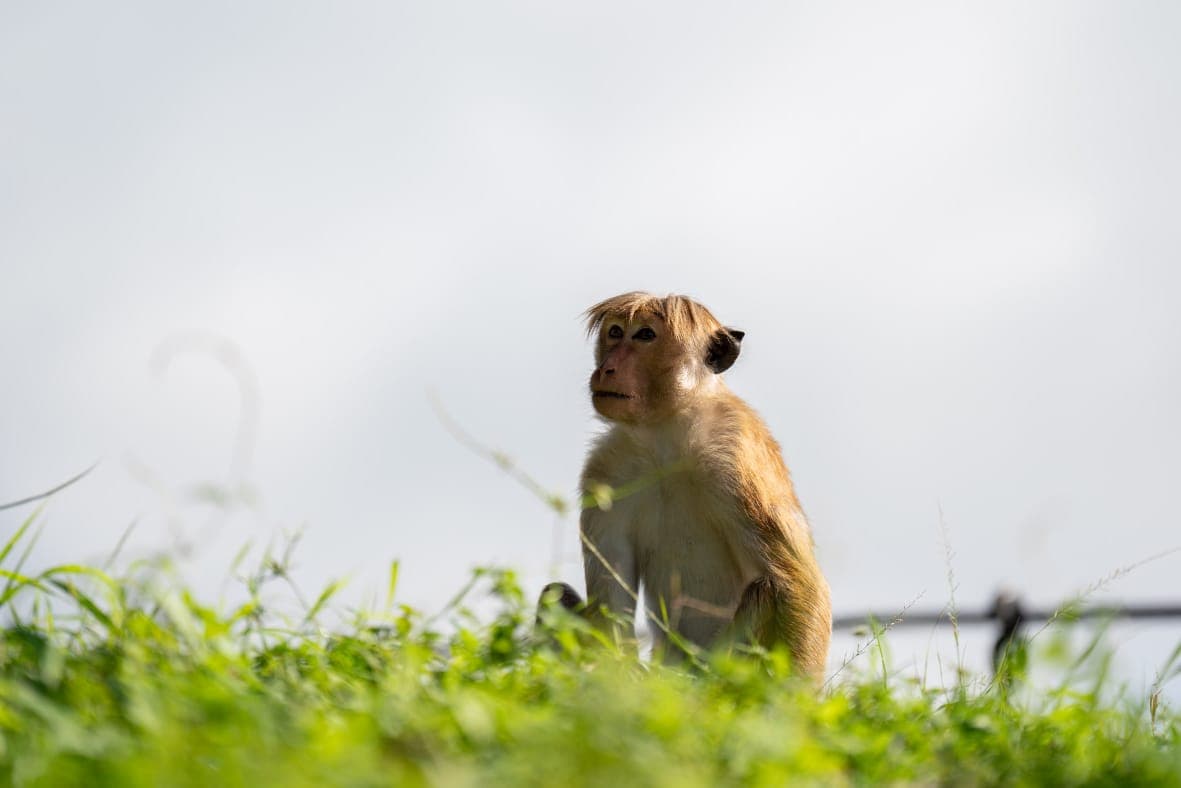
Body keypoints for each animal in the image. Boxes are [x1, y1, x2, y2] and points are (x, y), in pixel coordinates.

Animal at [539, 292, 831, 681]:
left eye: (645, 335)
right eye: (615, 333)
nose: (607, 368)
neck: (666, 438)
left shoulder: (735, 458)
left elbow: (798, 583)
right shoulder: (606, 469)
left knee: (766, 590)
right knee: (555, 593)